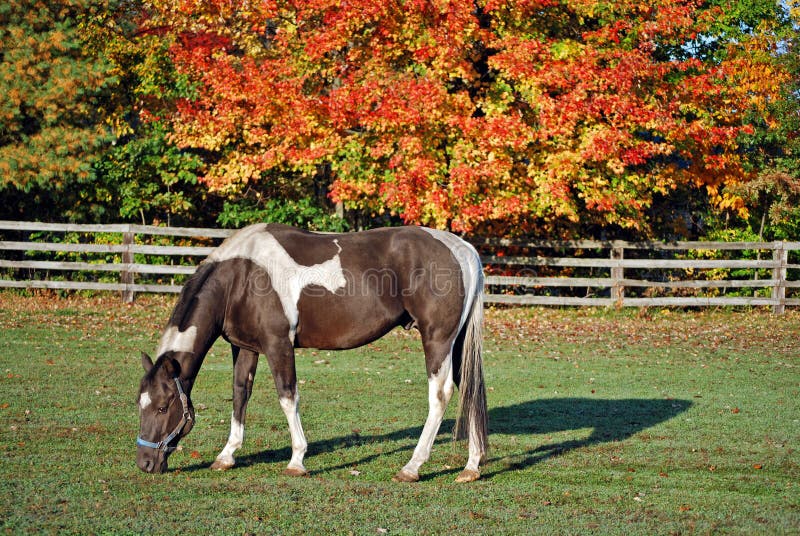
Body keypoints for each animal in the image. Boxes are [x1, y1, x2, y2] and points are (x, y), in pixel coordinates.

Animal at [136, 224, 488, 484]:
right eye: (140, 404)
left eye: (163, 407)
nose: (145, 463)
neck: (242, 275)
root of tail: (463, 249)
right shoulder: (246, 347)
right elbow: (240, 395)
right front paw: (227, 455)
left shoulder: (278, 344)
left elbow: (287, 397)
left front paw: (297, 460)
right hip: (457, 344)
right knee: (470, 391)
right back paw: (471, 467)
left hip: (437, 340)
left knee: (440, 395)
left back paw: (412, 467)